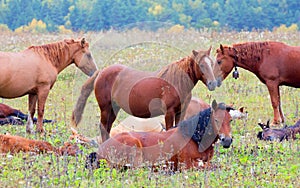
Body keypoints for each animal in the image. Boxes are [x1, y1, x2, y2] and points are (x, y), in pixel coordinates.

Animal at [71, 47, 219, 142]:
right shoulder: (169, 113)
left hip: (113, 109)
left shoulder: (180, 112)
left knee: (107, 128)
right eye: (201, 65)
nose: (213, 83)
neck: (176, 82)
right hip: (106, 109)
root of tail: (102, 72)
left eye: (212, 63)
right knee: (103, 129)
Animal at [85, 100, 233, 171]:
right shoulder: (187, 165)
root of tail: (100, 150)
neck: (193, 138)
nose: (227, 140)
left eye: (230, 120)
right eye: (216, 120)